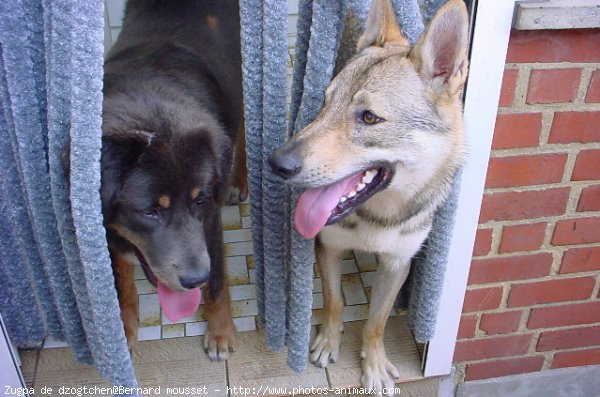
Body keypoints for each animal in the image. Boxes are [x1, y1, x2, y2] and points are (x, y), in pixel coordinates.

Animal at [270, 0, 472, 392]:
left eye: (369, 117)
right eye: (325, 103)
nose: (277, 163)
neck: (377, 217)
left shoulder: (397, 262)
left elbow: (376, 323)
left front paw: (375, 365)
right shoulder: (328, 247)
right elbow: (334, 302)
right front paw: (327, 343)